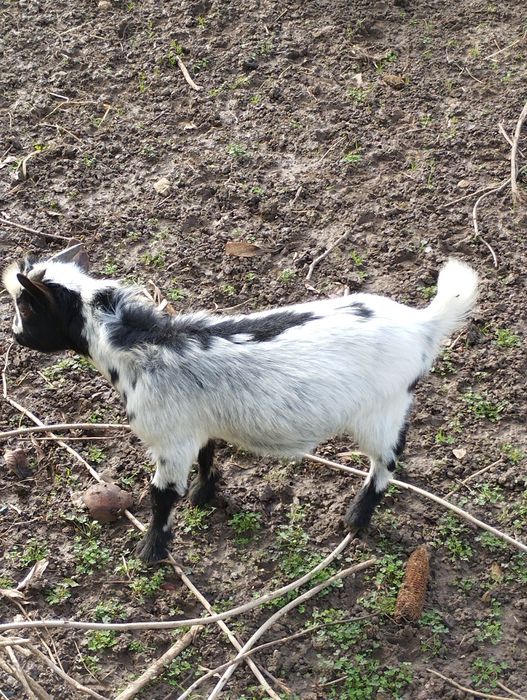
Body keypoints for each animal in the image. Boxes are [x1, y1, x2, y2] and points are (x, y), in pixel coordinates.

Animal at [3, 247, 478, 562]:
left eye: (27, 307)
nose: (16, 335)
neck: (138, 344)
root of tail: (422, 324)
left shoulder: (168, 440)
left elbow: (160, 497)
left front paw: (151, 551)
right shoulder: (196, 425)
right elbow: (209, 454)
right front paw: (205, 495)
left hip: (380, 411)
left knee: (387, 461)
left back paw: (356, 519)